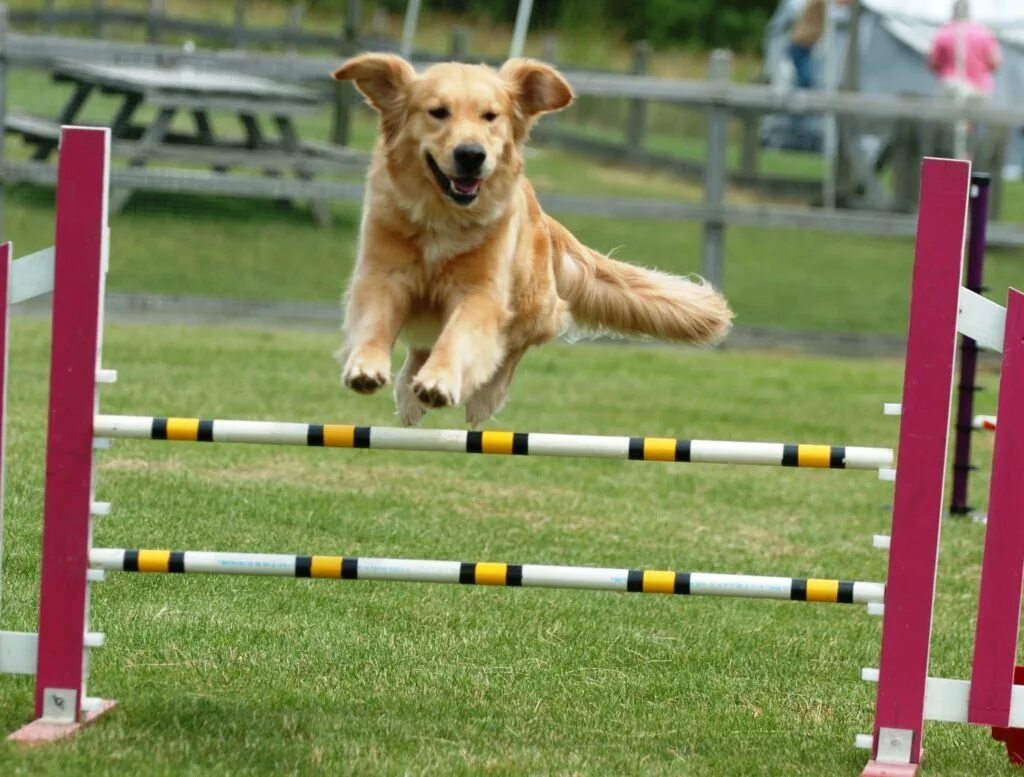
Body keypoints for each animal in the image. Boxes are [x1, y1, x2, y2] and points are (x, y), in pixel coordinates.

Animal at [331, 53, 733, 425]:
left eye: (490, 116)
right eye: (438, 112)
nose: (471, 155)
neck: (441, 218)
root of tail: (545, 220)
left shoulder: (481, 293)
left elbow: (458, 337)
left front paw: (440, 381)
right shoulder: (382, 275)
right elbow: (374, 323)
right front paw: (365, 366)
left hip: (532, 302)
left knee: (516, 344)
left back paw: (481, 398)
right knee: (423, 346)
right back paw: (408, 395)